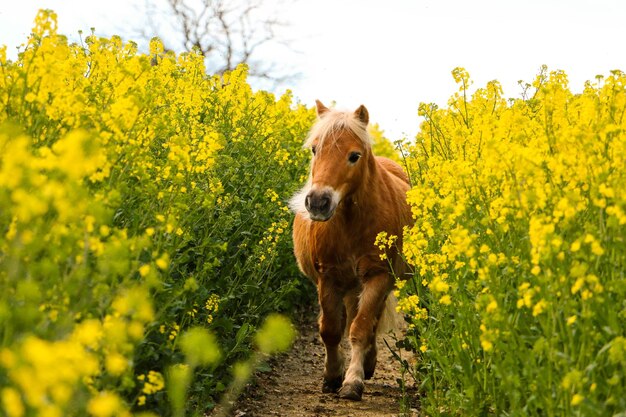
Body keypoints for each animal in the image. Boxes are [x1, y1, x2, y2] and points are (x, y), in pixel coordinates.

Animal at [290, 101, 412, 400]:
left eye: (354, 156)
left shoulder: (378, 276)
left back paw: (367, 365)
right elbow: (331, 330)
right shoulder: (329, 277)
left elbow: (361, 327)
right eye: (314, 149)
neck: (350, 223)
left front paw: (352, 380)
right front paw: (332, 376)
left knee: (370, 322)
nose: (318, 202)